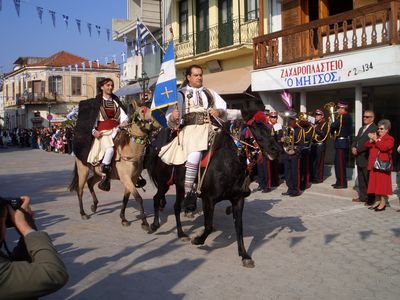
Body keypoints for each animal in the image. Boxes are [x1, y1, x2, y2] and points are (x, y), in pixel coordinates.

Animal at [68, 101, 157, 230]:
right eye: (142, 111)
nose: (156, 123)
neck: (130, 149)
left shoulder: (132, 178)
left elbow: (126, 198)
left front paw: (123, 218)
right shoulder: (126, 178)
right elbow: (138, 198)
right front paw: (144, 223)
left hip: (98, 173)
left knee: (90, 183)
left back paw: (94, 205)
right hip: (82, 170)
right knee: (80, 190)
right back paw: (83, 213)